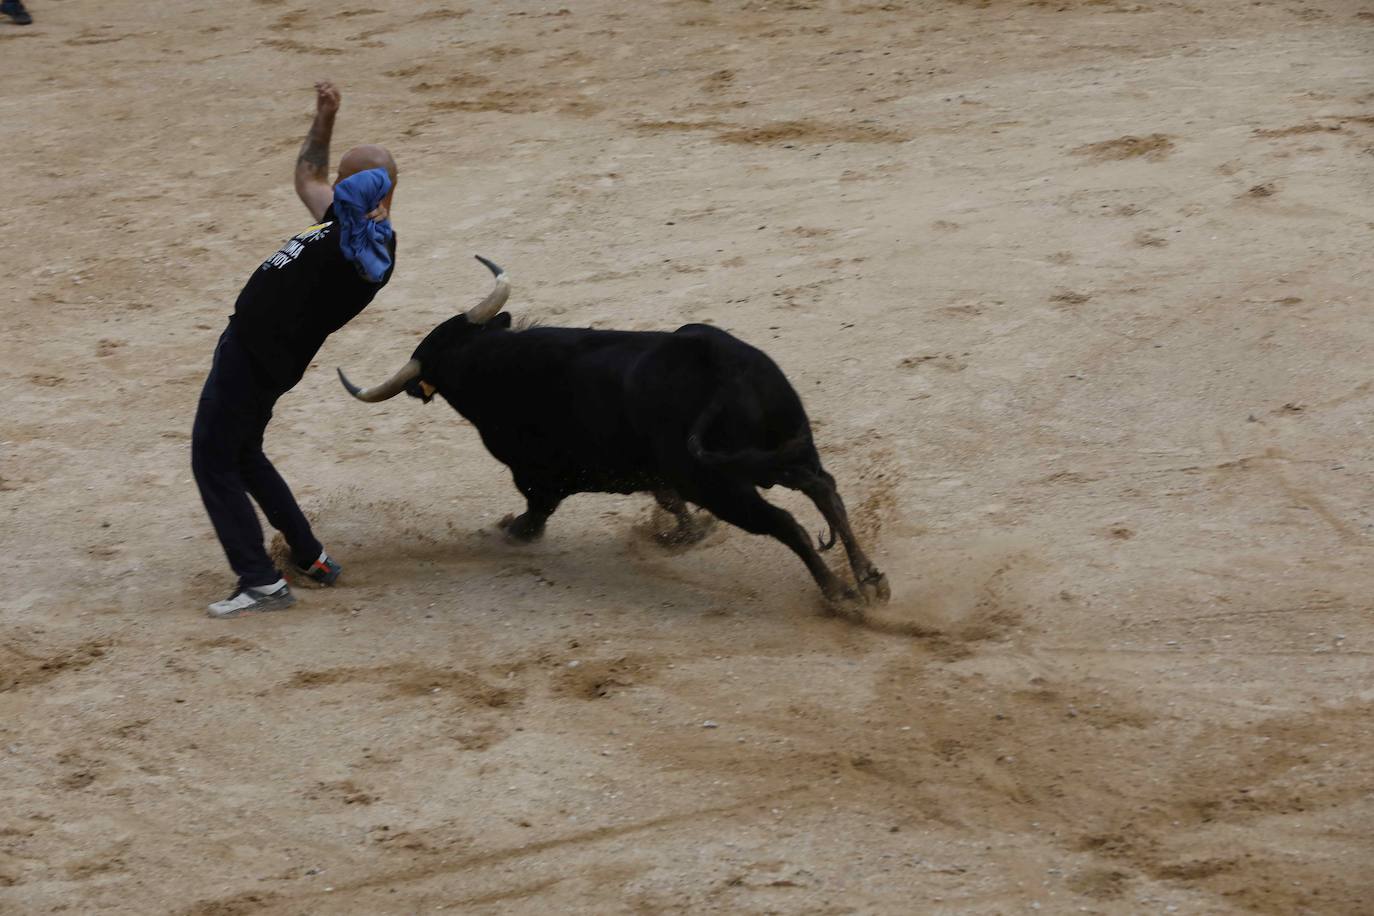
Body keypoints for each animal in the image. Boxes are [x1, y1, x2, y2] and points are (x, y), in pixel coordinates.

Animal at [338, 256, 884, 609]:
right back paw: (869, 579)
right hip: (787, 446)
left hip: (721, 484)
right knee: (823, 489)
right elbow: (667, 501)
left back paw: (840, 594)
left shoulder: (539, 479)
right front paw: (682, 536)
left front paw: (503, 531)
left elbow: (532, 518)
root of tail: (721, 367)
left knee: (786, 523)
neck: (485, 361)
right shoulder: (651, 474)